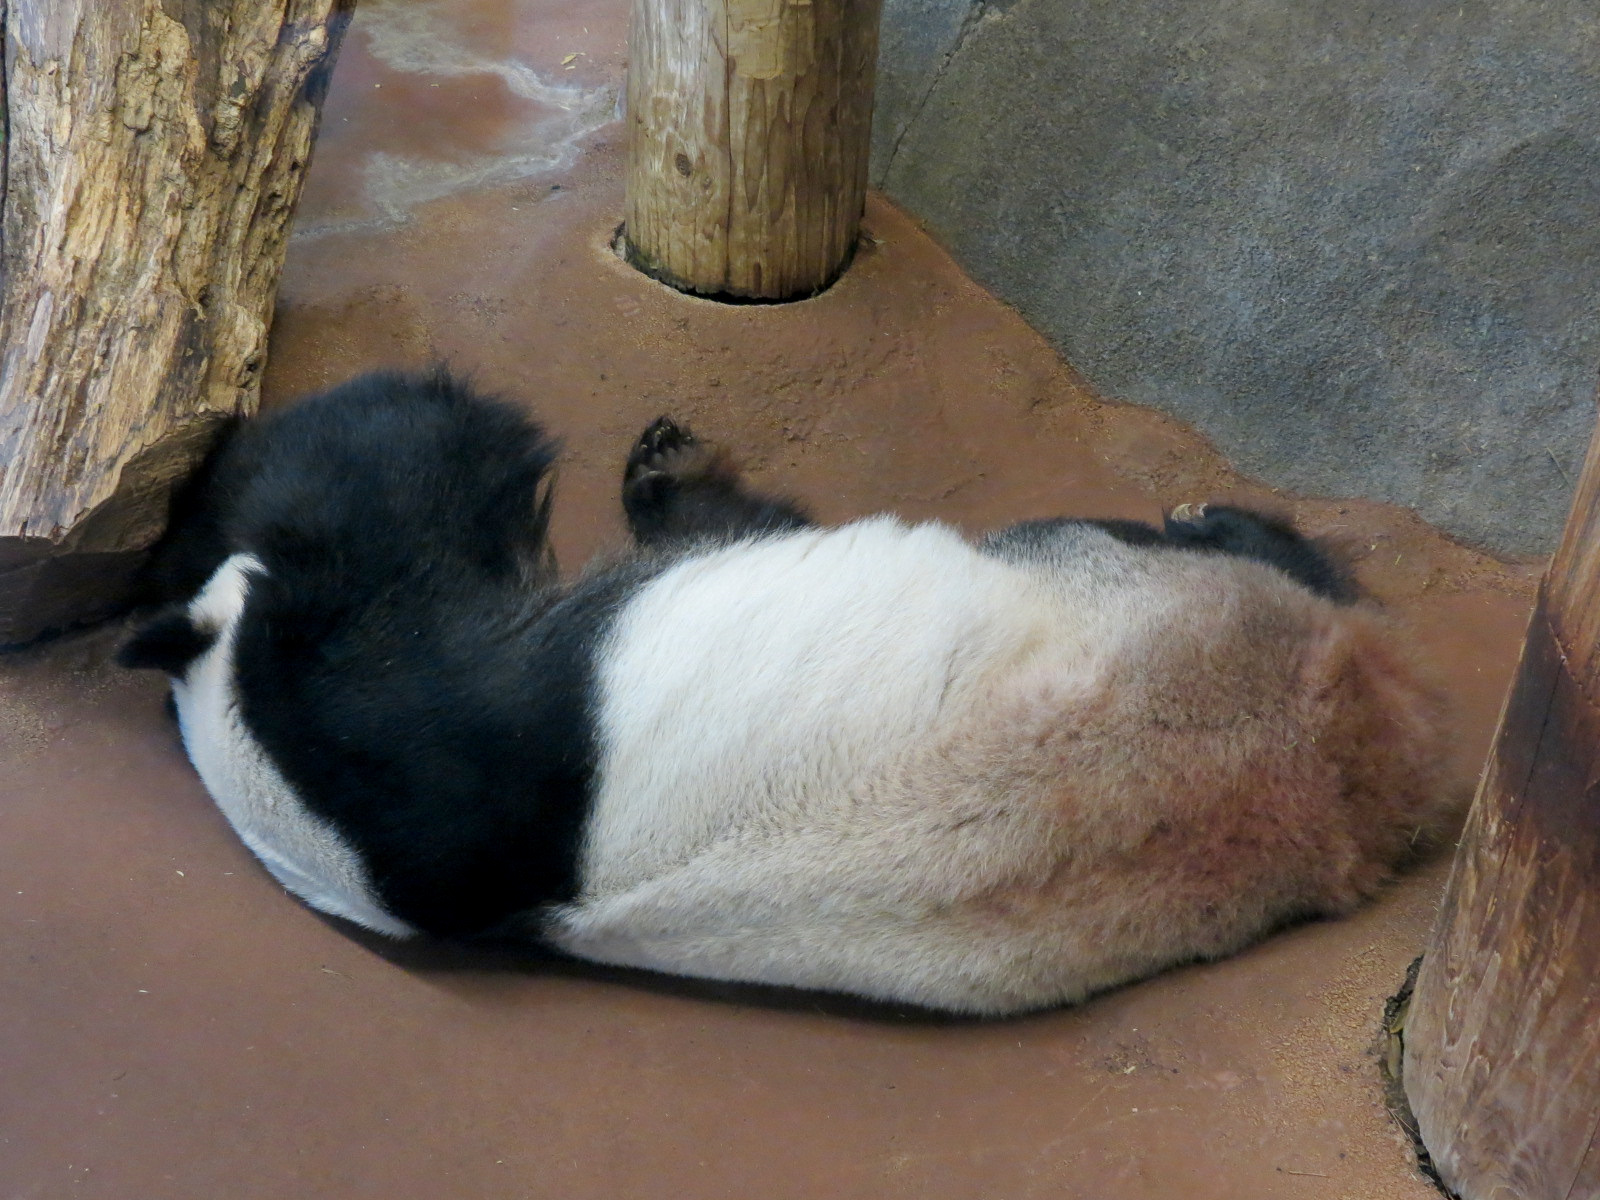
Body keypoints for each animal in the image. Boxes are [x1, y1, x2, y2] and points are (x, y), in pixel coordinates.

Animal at [119, 369, 1450, 1016]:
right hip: (1127, 583)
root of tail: (1352, 771)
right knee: (1235, 560)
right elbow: (399, 481)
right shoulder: (418, 711)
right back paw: (1221, 518)